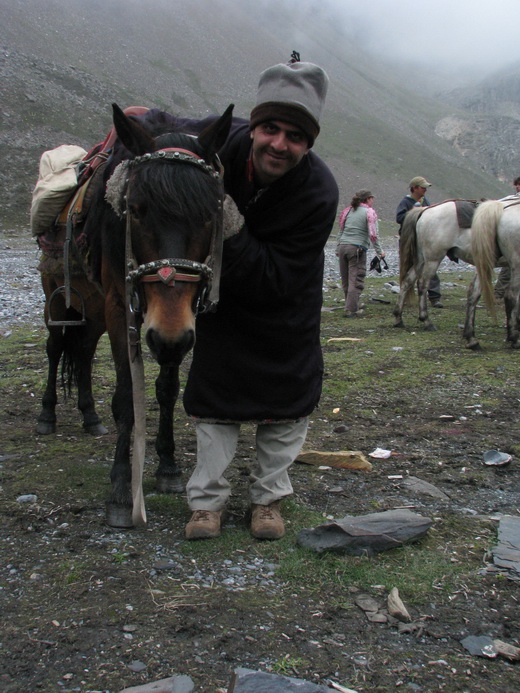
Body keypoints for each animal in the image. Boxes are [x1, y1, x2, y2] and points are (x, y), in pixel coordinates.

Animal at [36, 101, 232, 524]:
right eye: (136, 210)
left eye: (211, 213)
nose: (167, 334)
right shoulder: (117, 307)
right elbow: (126, 397)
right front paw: (122, 491)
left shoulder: (178, 324)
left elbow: (167, 389)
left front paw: (169, 466)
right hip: (59, 297)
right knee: (56, 348)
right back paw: (47, 416)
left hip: (92, 311)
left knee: (84, 351)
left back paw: (90, 417)